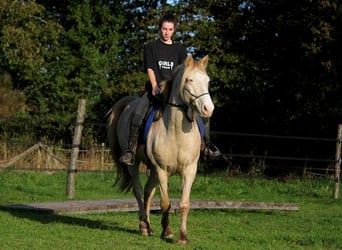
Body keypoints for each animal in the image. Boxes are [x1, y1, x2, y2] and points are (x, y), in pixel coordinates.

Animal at [107, 55, 214, 244]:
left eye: (207, 81)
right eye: (190, 80)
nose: (208, 109)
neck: (176, 131)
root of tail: (128, 104)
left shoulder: (189, 170)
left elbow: (184, 204)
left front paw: (182, 237)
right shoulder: (162, 169)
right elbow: (165, 203)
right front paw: (167, 232)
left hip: (153, 169)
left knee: (148, 191)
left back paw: (148, 226)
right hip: (136, 164)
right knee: (138, 190)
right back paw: (144, 226)